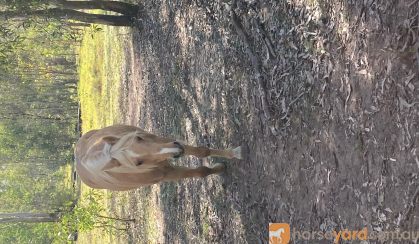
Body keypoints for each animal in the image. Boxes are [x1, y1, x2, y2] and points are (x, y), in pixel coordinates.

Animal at [74, 126, 241, 191]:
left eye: (139, 138)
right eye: (138, 163)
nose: (176, 151)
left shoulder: (161, 140)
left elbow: (202, 151)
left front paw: (233, 153)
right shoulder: (168, 173)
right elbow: (202, 171)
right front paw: (220, 168)